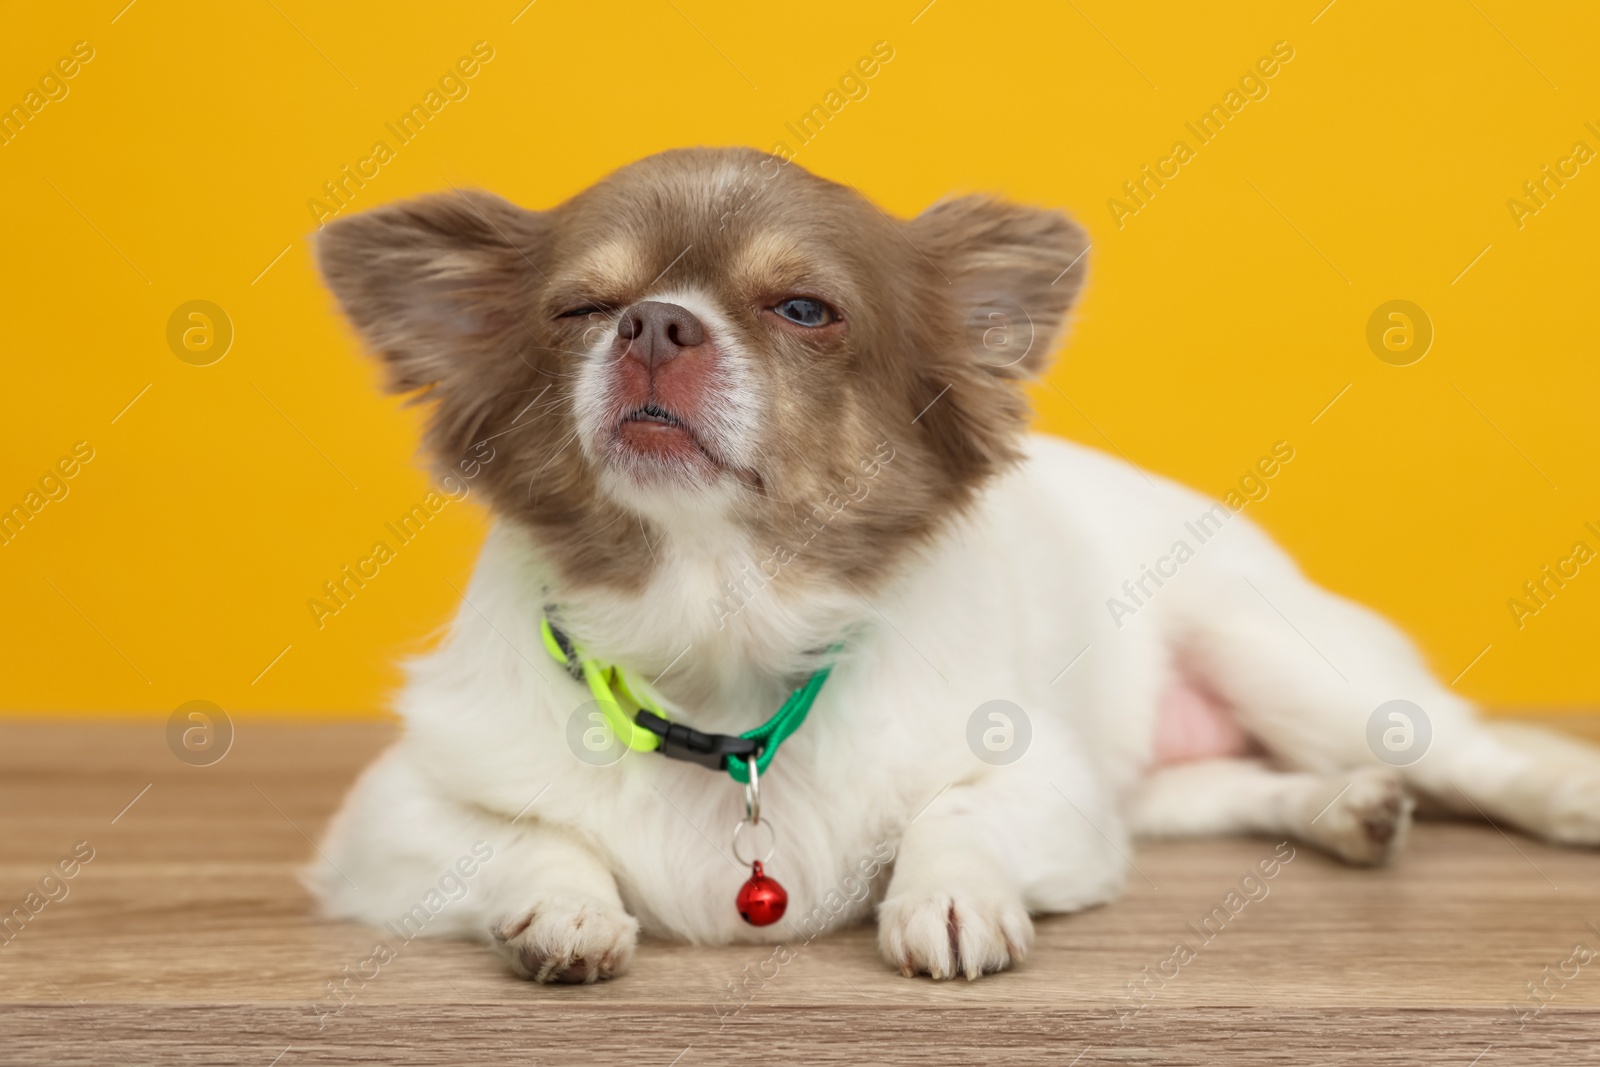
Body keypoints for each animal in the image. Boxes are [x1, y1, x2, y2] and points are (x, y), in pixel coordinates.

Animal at [308, 147, 1600, 985]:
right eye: (582, 309)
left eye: (802, 309)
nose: (654, 324)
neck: (722, 627)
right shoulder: (387, 817)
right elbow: (526, 832)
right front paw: (563, 907)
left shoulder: (1055, 790)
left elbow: (959, 808)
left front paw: (946, 892)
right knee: (1229, 786)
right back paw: (1341, 809)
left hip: (1276, 656)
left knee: (1463, 749)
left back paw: (1549, 794)